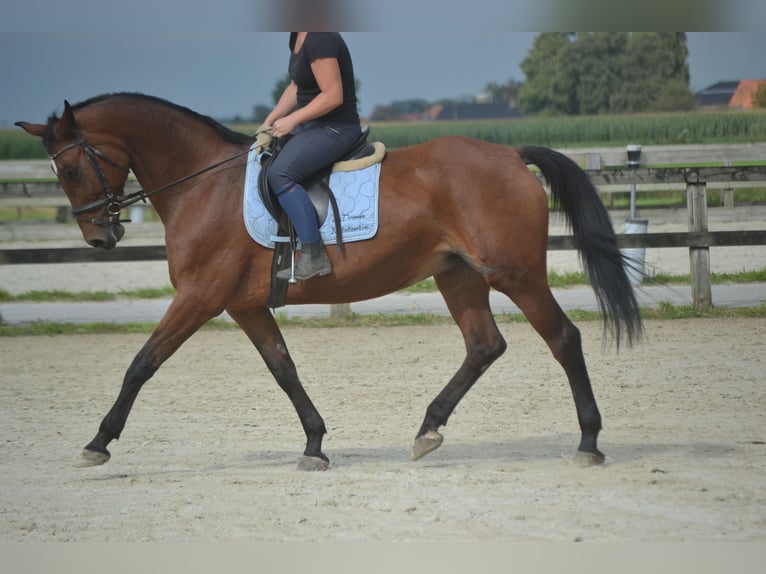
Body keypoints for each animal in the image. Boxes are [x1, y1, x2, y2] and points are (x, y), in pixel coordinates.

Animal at [15, 93, 644, 472]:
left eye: (69, 168)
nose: (99, 237)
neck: (203, 184)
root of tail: (510, 153)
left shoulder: (198, 297)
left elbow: (142, 363)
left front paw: (98, 442)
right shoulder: (243, 306)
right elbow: (283, 369)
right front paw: (315, 444)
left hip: (514, 273)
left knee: (563, 338)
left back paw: (589, 442)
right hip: (459, 275)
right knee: (484, 345)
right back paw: (428, 429)